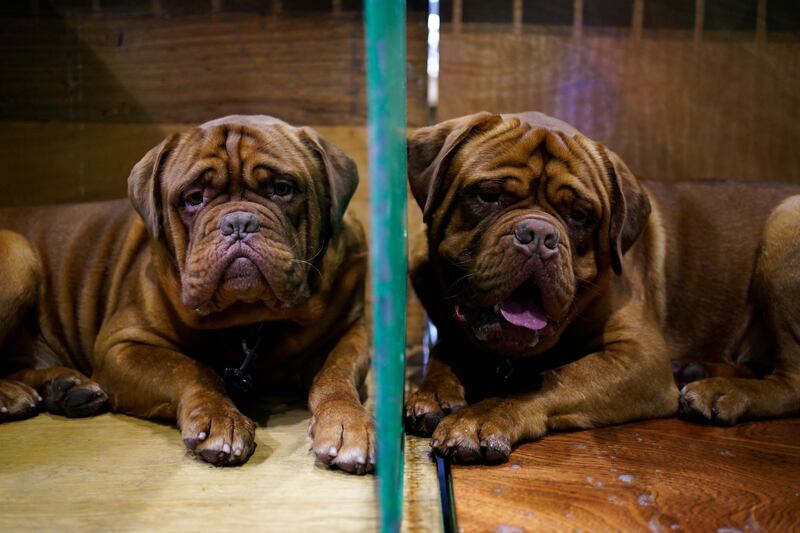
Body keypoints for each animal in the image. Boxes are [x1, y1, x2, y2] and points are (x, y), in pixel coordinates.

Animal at [0, 114, 376, 472]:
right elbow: (191, 370)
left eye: (282, 189)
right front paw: (220, 417)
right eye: (193, 198)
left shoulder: (347, 334)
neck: (249, 318)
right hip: (17, 254)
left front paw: (348, 424)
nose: (238, 223)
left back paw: (64, 388)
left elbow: (335, 377)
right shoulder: (123, 346)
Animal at [406, 111, 800, 462]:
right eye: (488, 195)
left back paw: (720, 391)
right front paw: (434, 392)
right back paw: (696, 370)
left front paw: (480, 417)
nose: (539, 235)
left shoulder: (637, 357)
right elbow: (446, 349)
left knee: (791, 382)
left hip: (785, 224)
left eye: (580, 215)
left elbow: (551, 377)